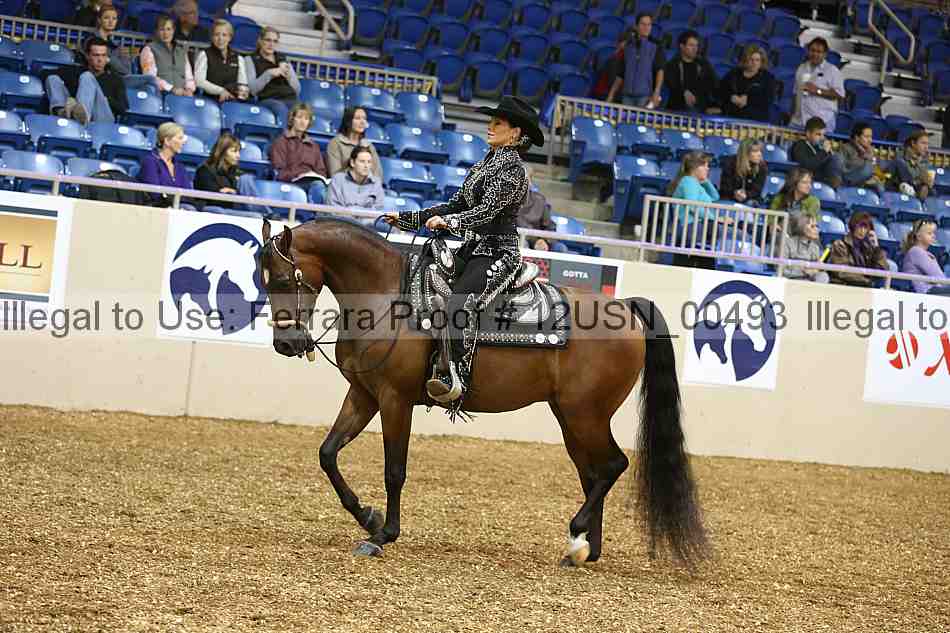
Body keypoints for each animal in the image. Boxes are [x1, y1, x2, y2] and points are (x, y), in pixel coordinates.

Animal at [257, 217, 708, 567]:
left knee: (613, 465)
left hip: (586, 414)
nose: (286, 344)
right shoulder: (363, 395)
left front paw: (383, 534)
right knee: (593, 472)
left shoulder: (394, 399)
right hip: (571, 417)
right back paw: (583, 550)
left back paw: (578, 534)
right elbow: (328, 453)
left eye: (281, 279)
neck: (386, 297)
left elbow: (394, 470)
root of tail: (627, 308)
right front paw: (366, 516)